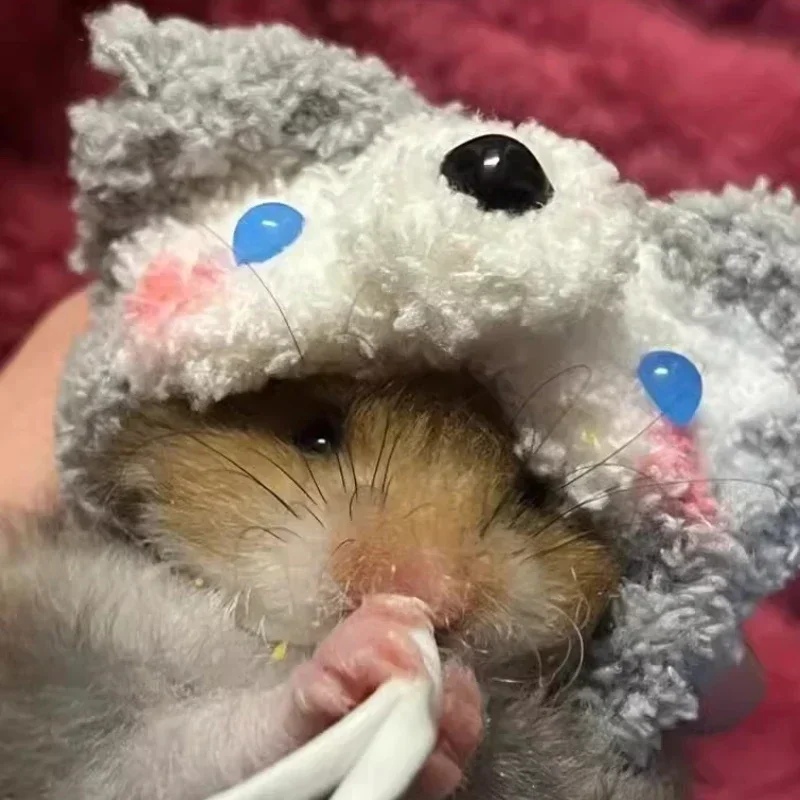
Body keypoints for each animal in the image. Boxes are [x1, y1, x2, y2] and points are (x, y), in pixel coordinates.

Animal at [0, 370, 685, 799]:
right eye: (315, 434)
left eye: (535, 492)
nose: (427, 597)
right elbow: (196, 746)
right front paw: (374, 650)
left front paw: (458, 715)